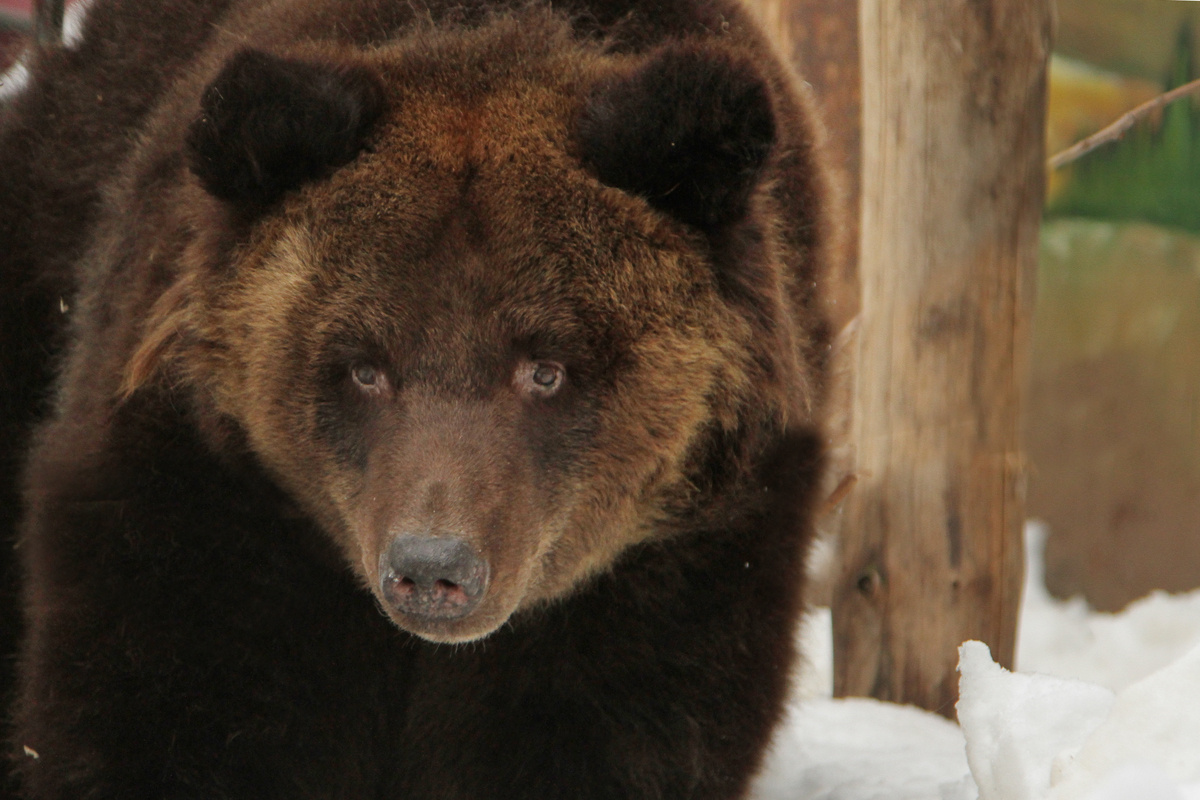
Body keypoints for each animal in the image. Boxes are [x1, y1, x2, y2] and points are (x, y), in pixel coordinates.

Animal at [0, 0, 835, 796]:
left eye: (546, 368)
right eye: (365, 367)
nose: (433, 567)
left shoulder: (672, 571)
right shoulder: (211, 510)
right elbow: (167, 720)